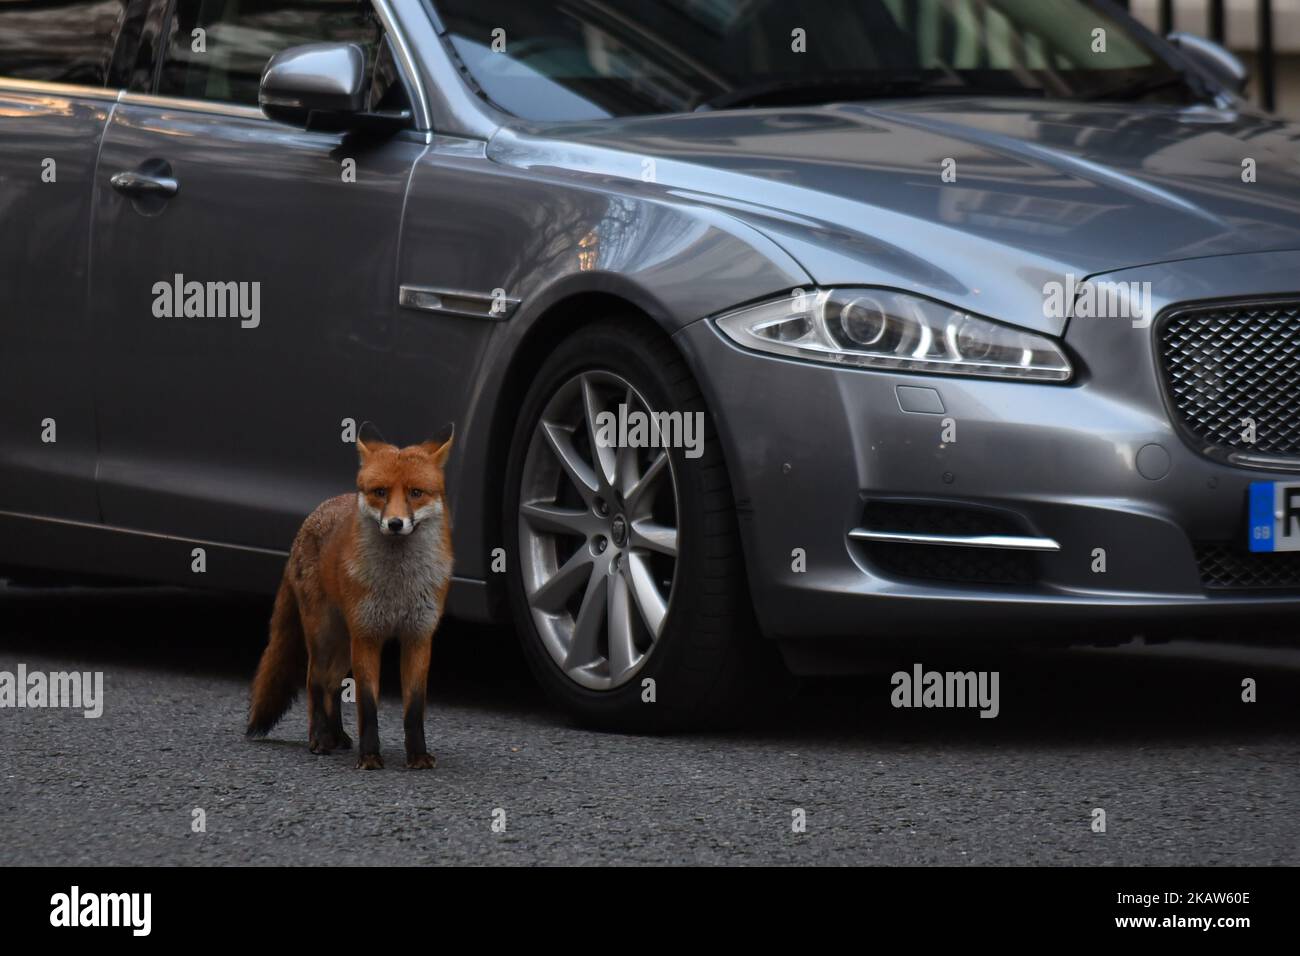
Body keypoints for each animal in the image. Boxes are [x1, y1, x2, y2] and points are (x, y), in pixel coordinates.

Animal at [245, 434, 454, 770]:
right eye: (380, 492)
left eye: (416, 493)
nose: (395, 523)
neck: (398, 587)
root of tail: (313, 515)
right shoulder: (367, 636)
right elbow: (367, 705)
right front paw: (369, 757)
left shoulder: (419, 637)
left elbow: (414, 708)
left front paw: (418, 756)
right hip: (324, 635)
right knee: (315, 681)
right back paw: (319, 739)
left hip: (344, 644)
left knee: (332, 684)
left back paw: (336, 736)